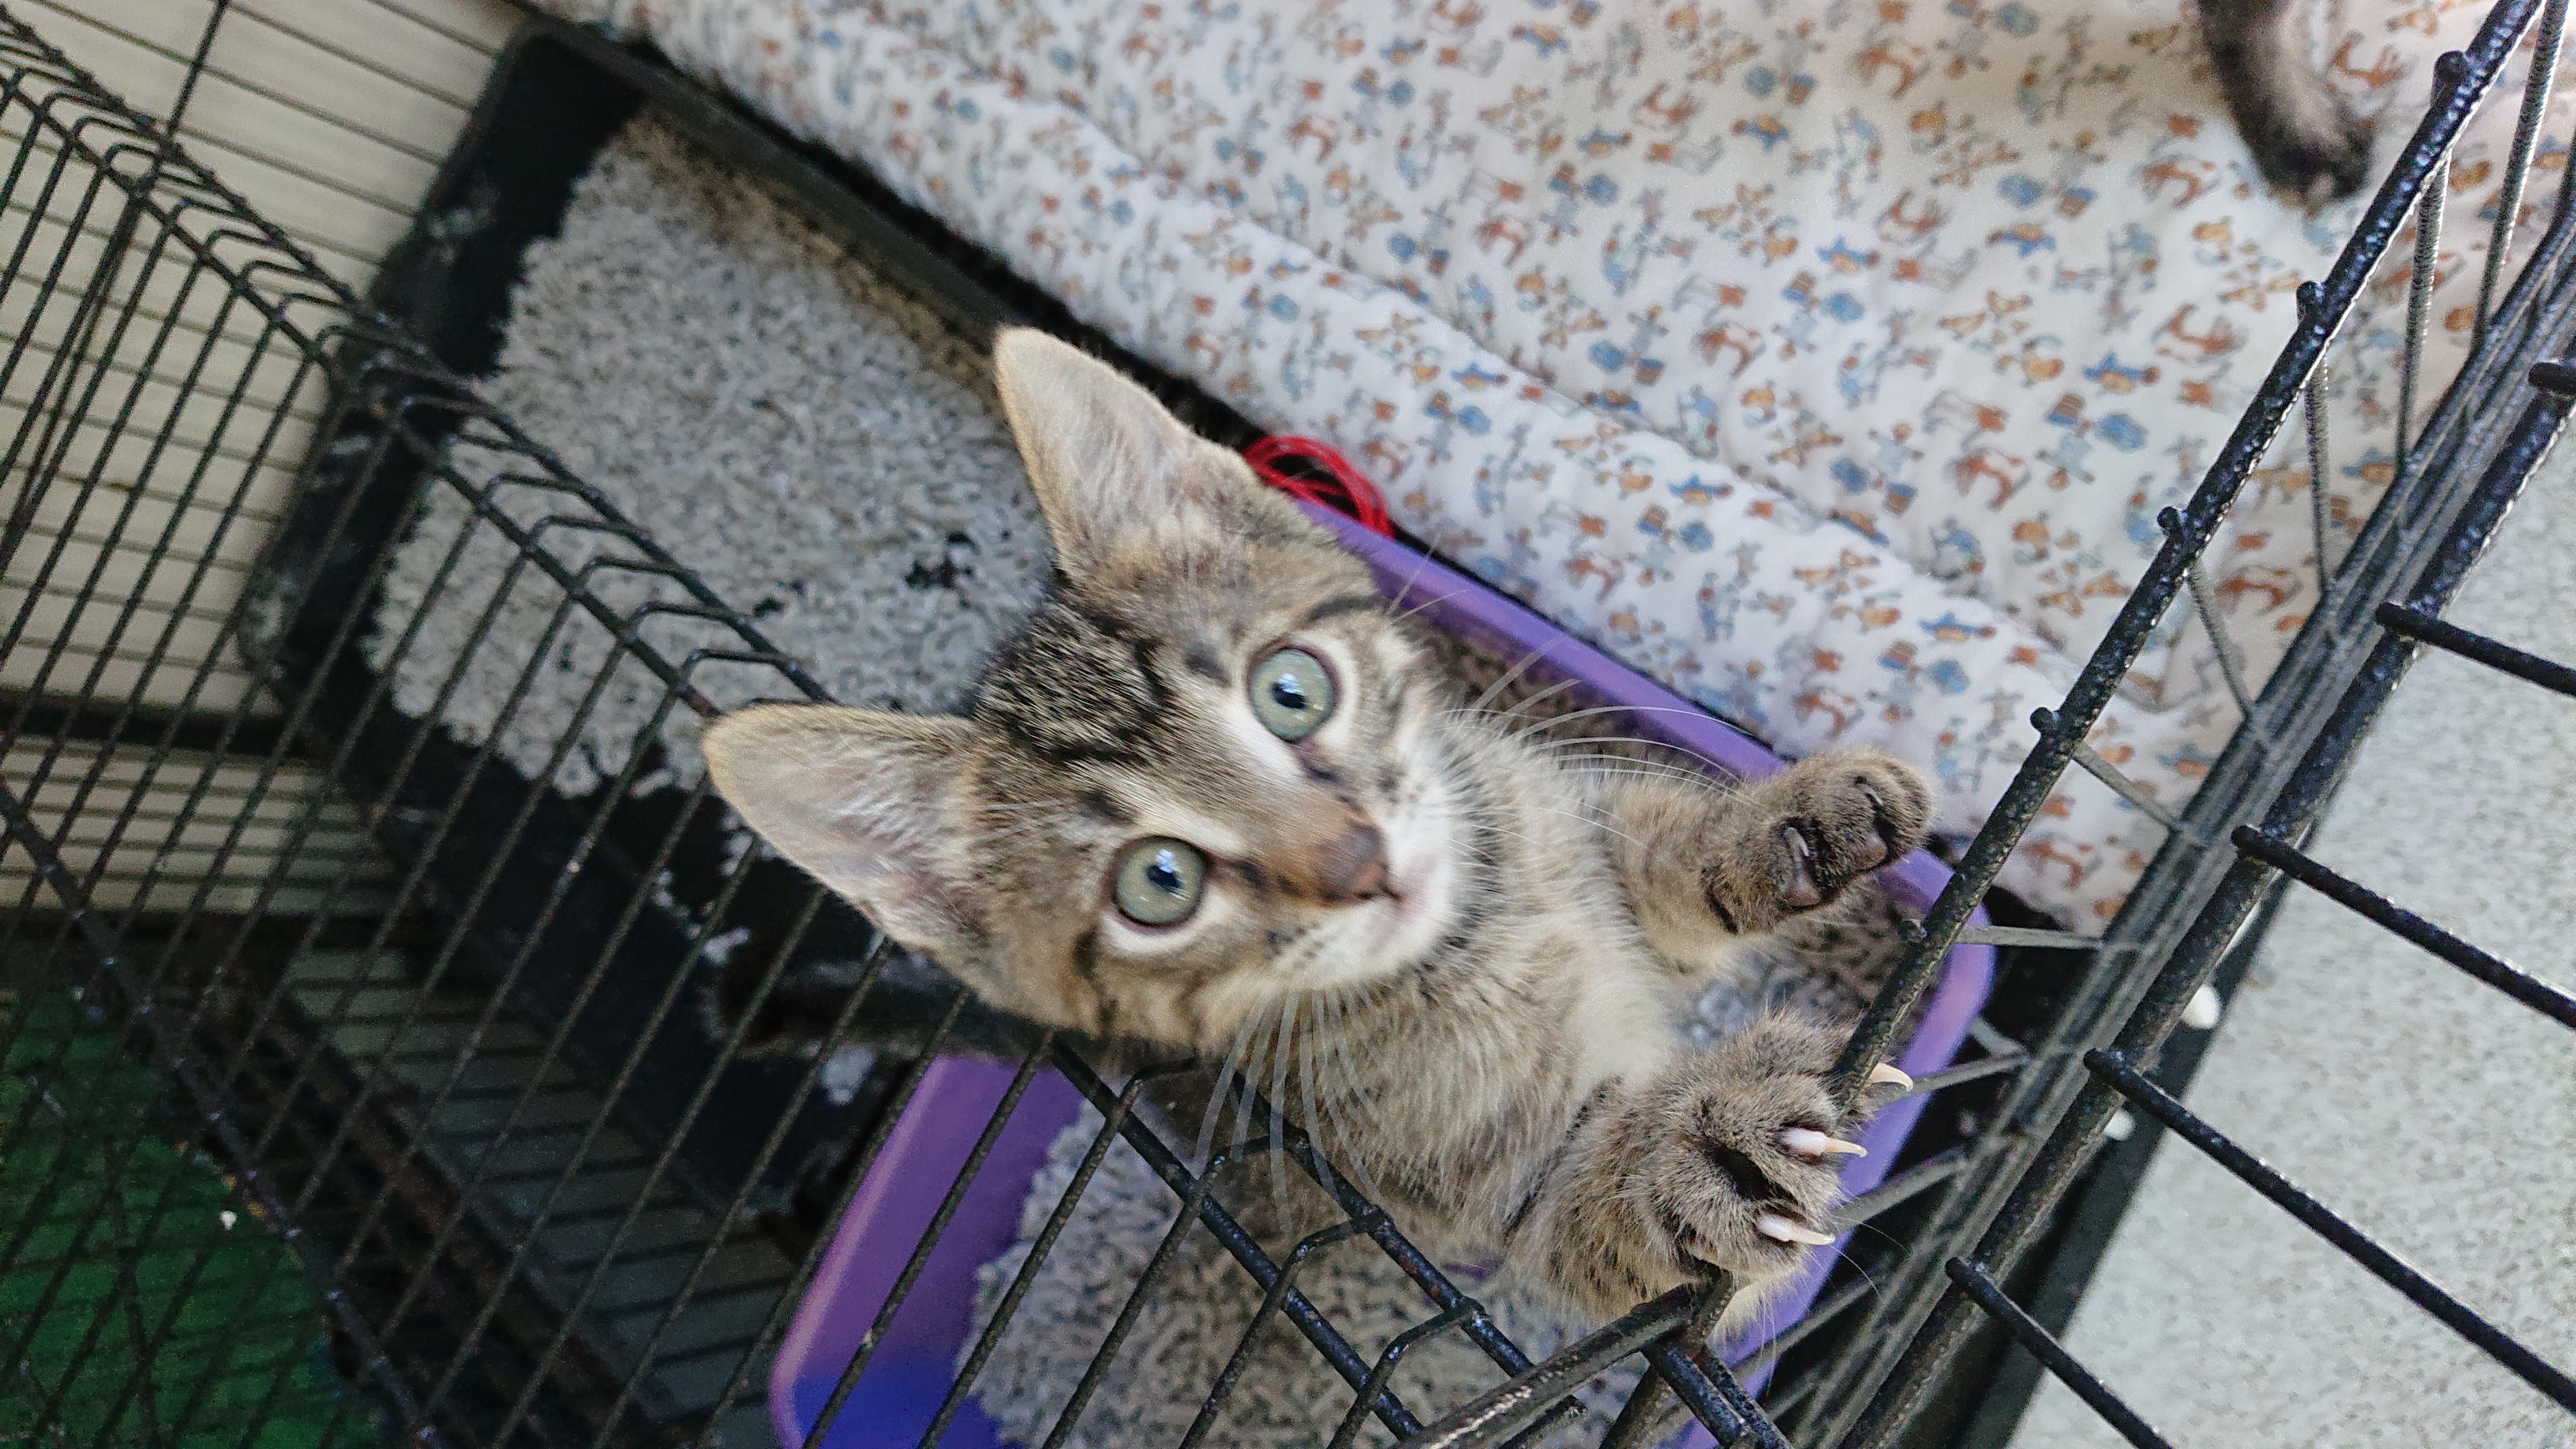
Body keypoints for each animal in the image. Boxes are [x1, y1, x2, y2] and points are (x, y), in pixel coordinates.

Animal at [702, 329, 1933, 1322]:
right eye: (1158, 883)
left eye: (1290, 690)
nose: (1355, 862)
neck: (1479, 928)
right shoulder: (1474, 1182)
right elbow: (1595, 1217)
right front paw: (1708, 1160)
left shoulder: (1554, 823)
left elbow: (1659, 862)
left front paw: (1786, 830)